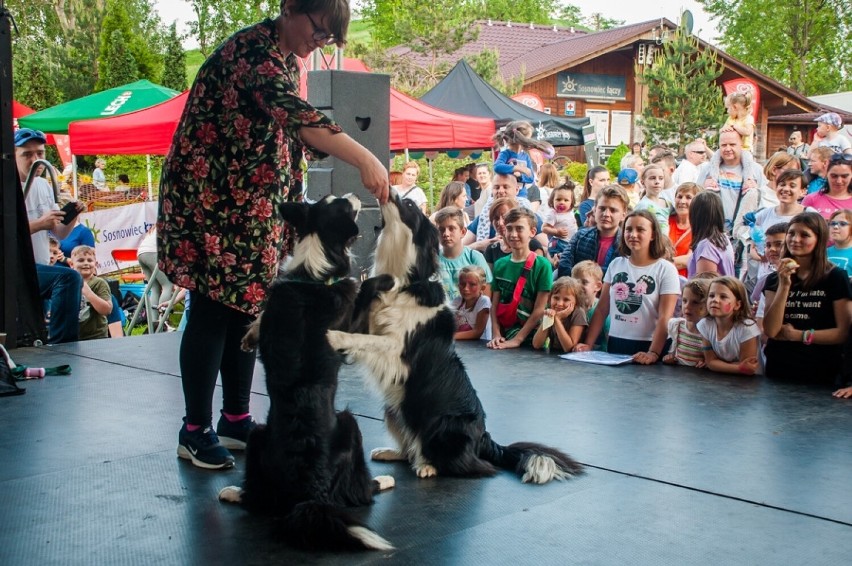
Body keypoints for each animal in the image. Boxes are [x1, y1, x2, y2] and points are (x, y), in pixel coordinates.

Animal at [218, 196, 394, 556]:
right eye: (344, 206)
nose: (356, 196)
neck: (314, 271)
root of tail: (309, 493)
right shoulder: (350, 324)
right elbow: (364, 287)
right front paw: (383, 279)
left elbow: (262, 317)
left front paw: (251, 334)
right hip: (350, 424)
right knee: (360, 492)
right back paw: (383, 480)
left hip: (257, 434)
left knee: (257, 499)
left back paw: (232, 492)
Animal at [328, 193, 584, 486]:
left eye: (409, 205)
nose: (390, 192)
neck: (407, 279)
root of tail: (485, 439)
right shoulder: (371, 322)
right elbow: (363, 320)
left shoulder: (398, 349)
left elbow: (364, 339)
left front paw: (334, 337)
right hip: (396, 408)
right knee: (410, 446)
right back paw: (391, 452)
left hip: (440, 424)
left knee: (468, 464)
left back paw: (428, 466)